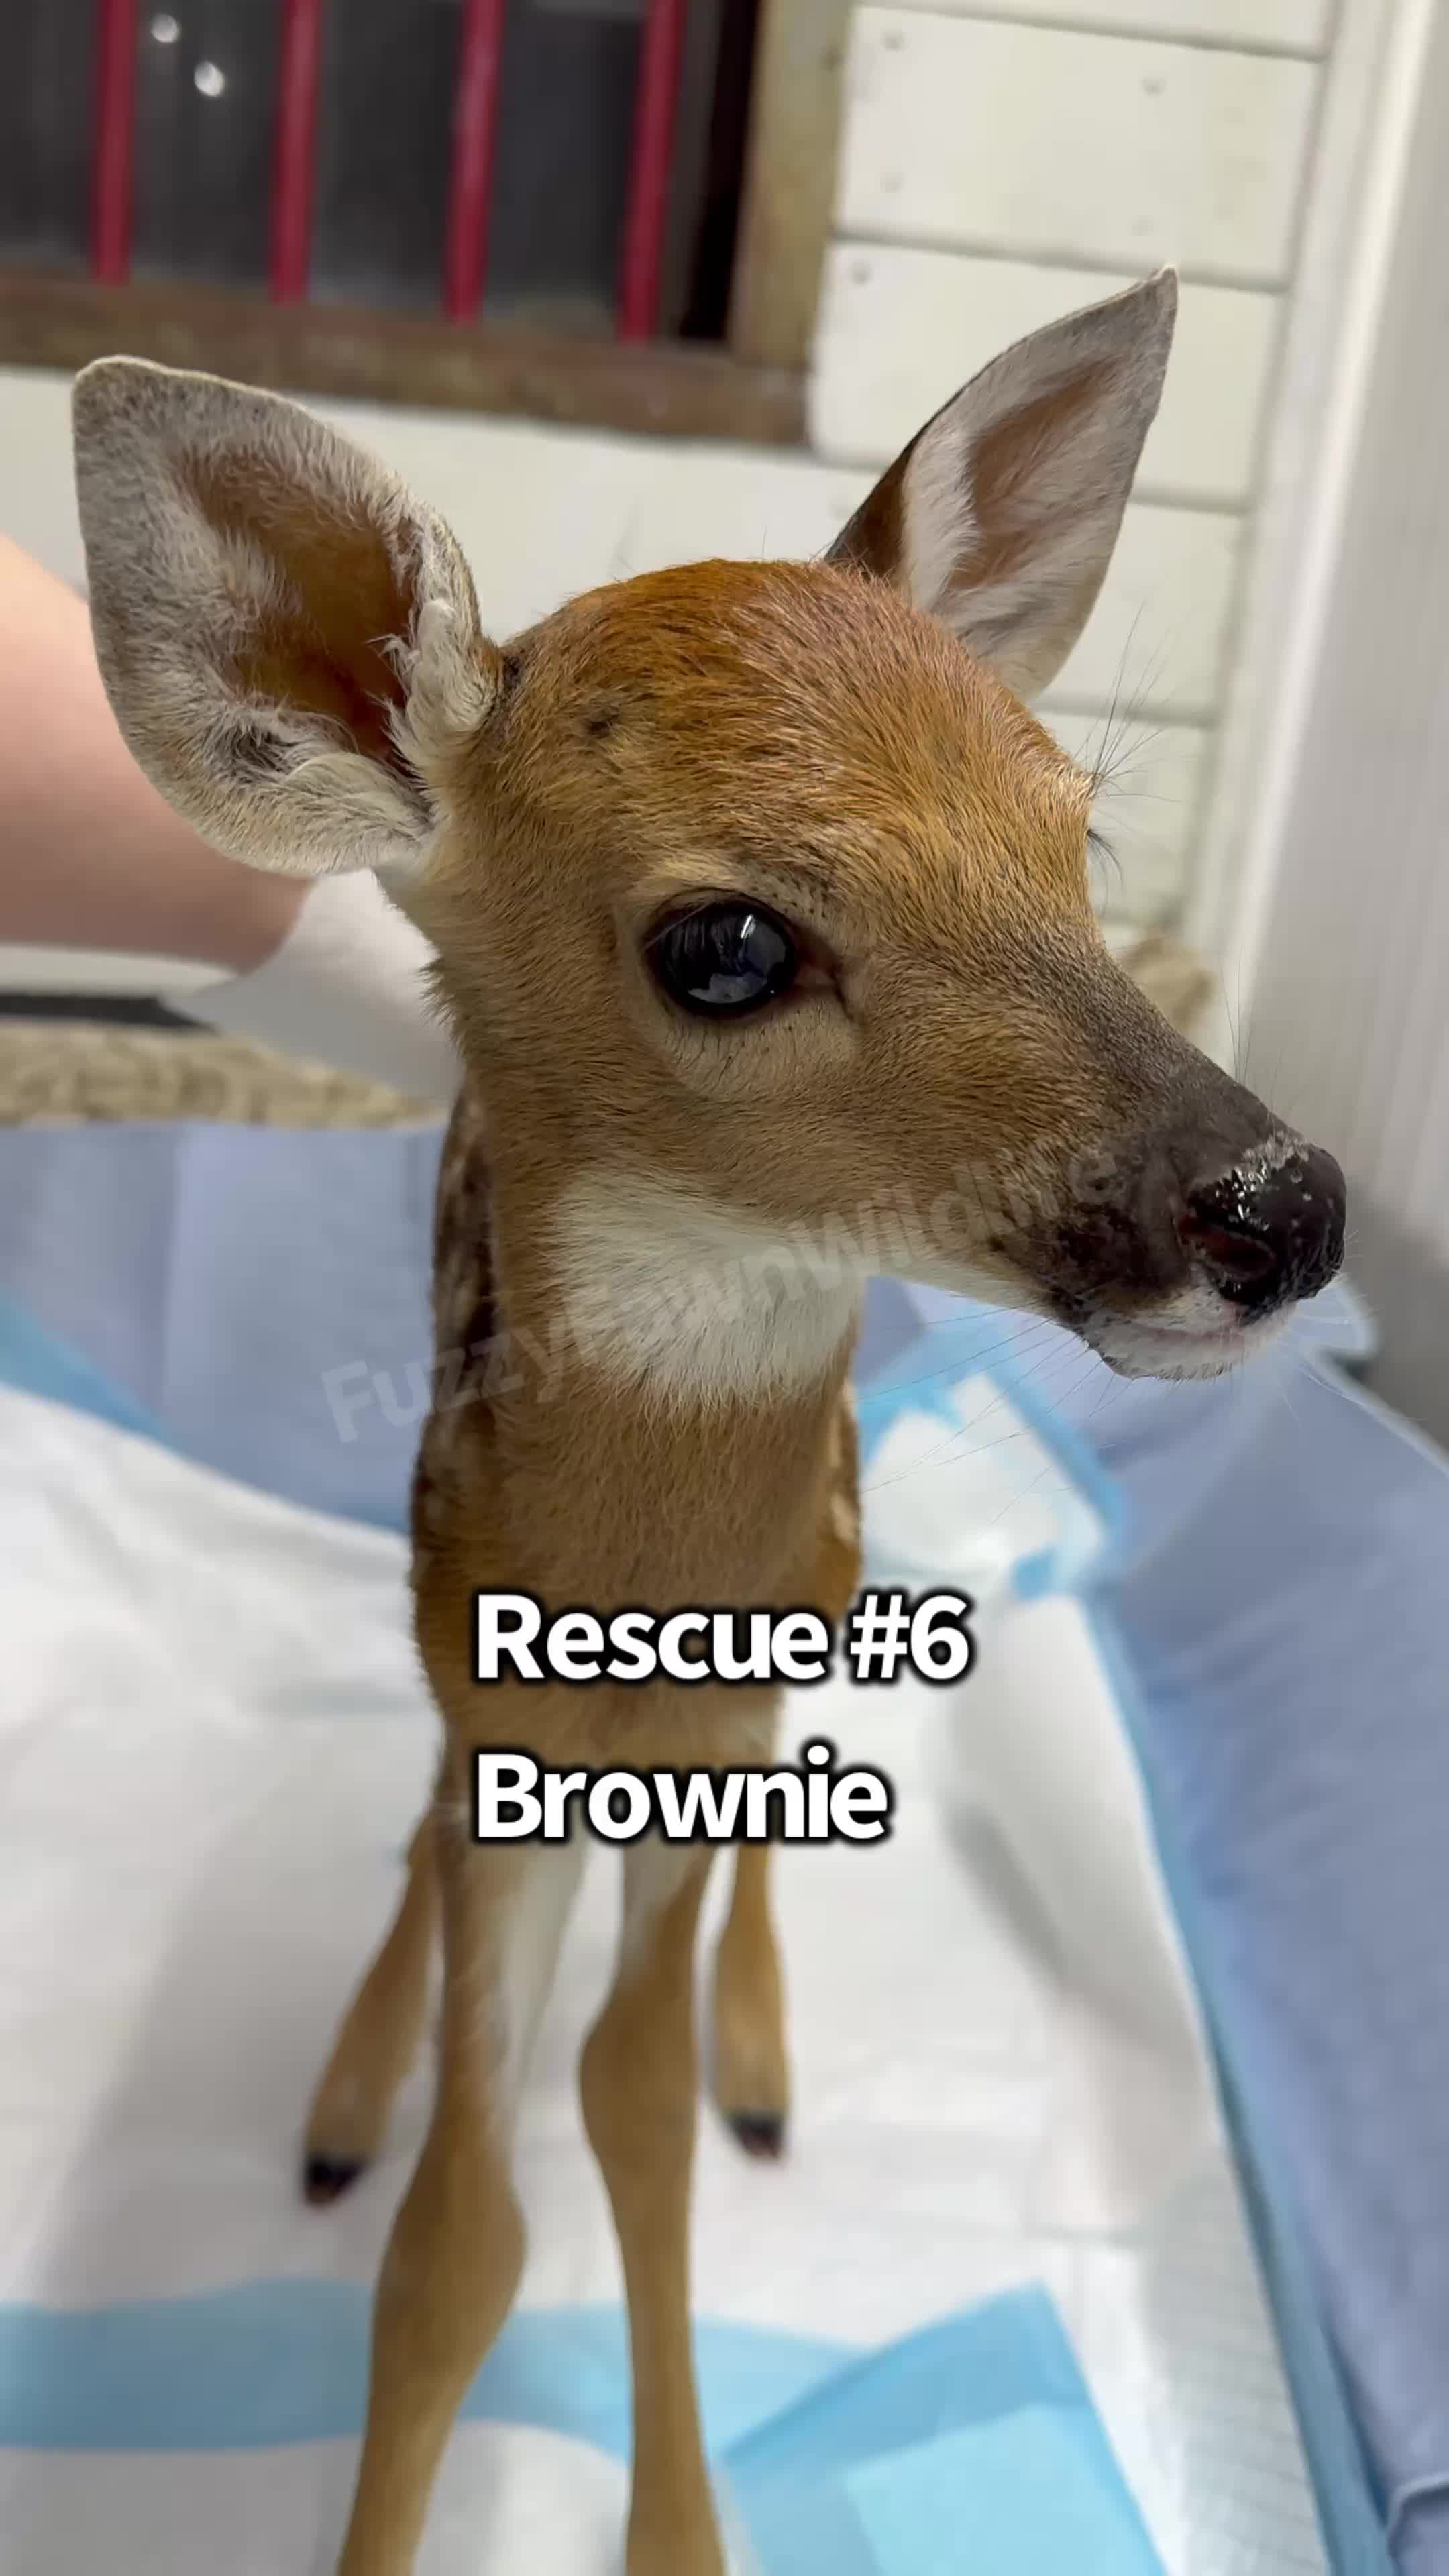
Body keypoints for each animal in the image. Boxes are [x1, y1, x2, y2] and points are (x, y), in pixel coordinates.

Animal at [71, 269, 1344, 2576]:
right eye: (729, 939)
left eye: (1077, 829)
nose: (1283, 1202)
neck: (638, 1617)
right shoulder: (503, 1711)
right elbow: (456, 2227)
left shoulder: (727, 1710)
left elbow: (637, 2113)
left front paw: (679, 2524)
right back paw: (345, 2079)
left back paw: (763, 2048)